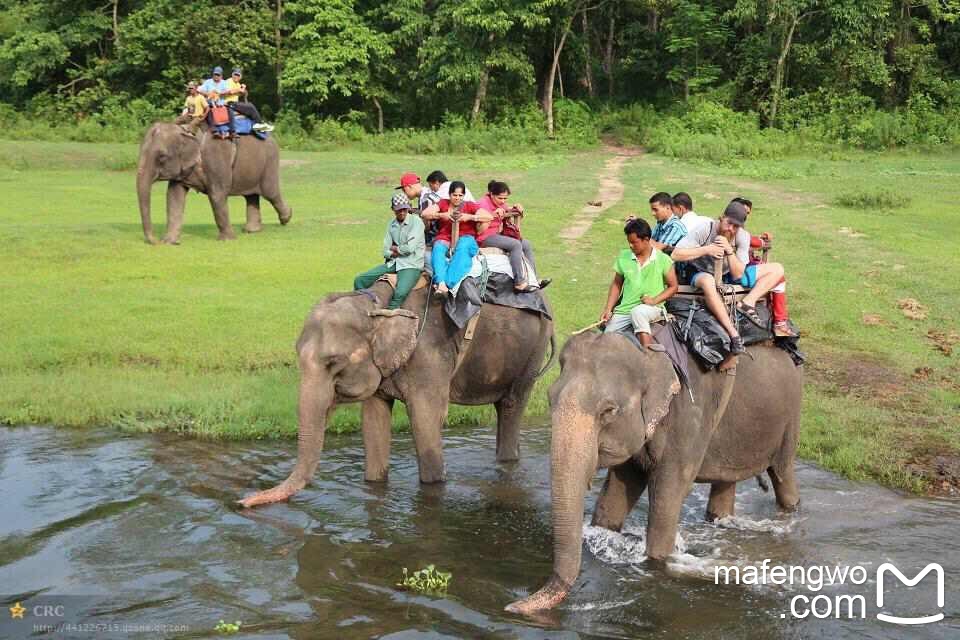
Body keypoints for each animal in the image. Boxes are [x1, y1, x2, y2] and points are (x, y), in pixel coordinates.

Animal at [135, 121, 290, 244]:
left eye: (162, 156)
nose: (156, 241)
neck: (186, 130)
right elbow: (174, 196)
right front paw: (170, 242)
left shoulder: (216, 159)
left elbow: (216, 195)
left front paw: (228, 240)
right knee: (251, 196)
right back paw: (251, 230)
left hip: (270, 161)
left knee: (270, 193)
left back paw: (286, 218)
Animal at [238, 278, 556, 508]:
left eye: (333, 363)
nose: (242, 502)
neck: (378, 305)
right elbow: (373, 422)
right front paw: (375, 485)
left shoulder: (429, 353)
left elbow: (425, 421)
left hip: (533, 350)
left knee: (512, 405)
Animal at [506, 332, 800, 612]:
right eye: (549, 399)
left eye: (608, 411)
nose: (511, 606)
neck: (647, 352)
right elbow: (618, 492)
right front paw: (604, 531)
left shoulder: (690, 416)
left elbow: (669, 492)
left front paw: (658, 562)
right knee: (726, 481)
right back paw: (721, 520)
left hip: (790, 420)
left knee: (782, 474)